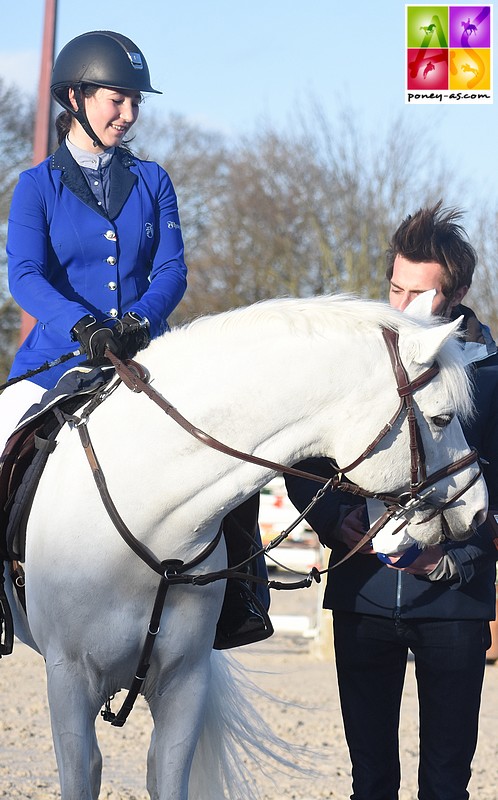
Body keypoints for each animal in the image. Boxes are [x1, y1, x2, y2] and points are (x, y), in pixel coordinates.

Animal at [6, 296, 486, 800]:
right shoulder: (69, 681)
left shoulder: (184, 682)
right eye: (442, 418)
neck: (144, 512)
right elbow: (82, 775)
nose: (477, 509)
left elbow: (166, 775)